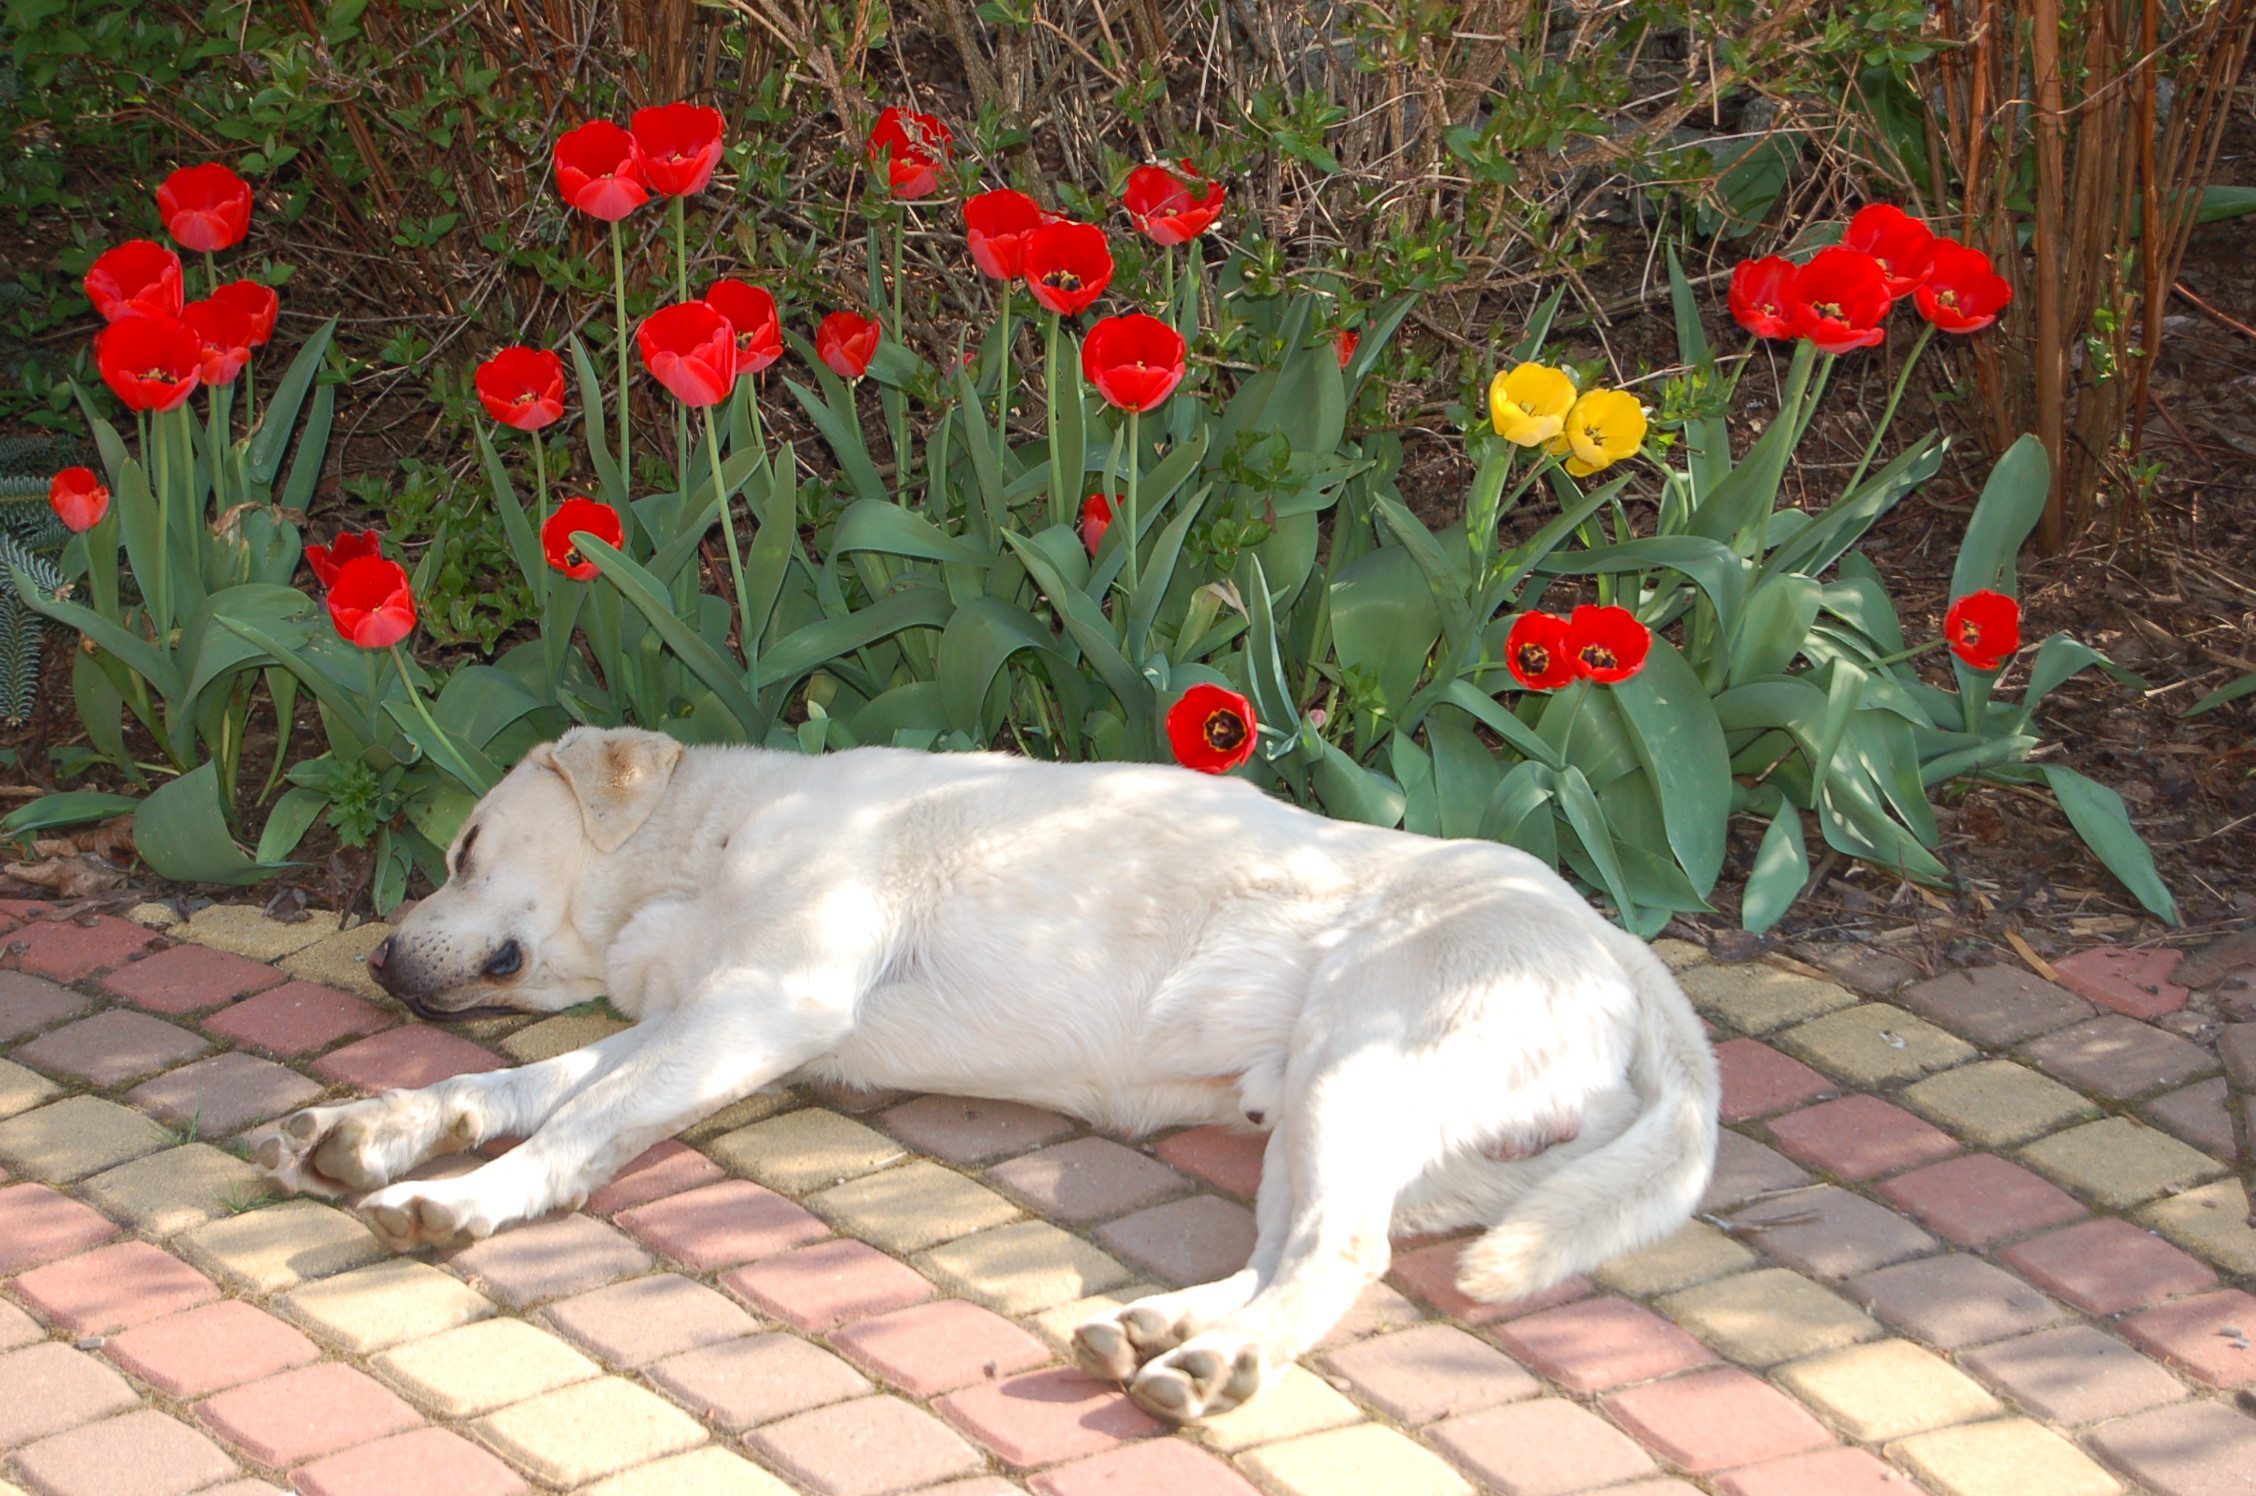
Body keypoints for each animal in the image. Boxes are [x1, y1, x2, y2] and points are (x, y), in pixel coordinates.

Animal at [259, 731, 1705, 1426]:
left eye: (462, 847)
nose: (377, 956)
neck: (707, 844)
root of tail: (1622, 950)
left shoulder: (765, 1002)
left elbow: (576, 1125)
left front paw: (464, 1200)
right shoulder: (705, 1017)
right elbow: (532, 1090)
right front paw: (381, 1124)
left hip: (1363, 1065)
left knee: (1338, 1254)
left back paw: (1217, 1363)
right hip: (1314, 1111)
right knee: (1288, 1248)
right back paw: (1163, 1330)